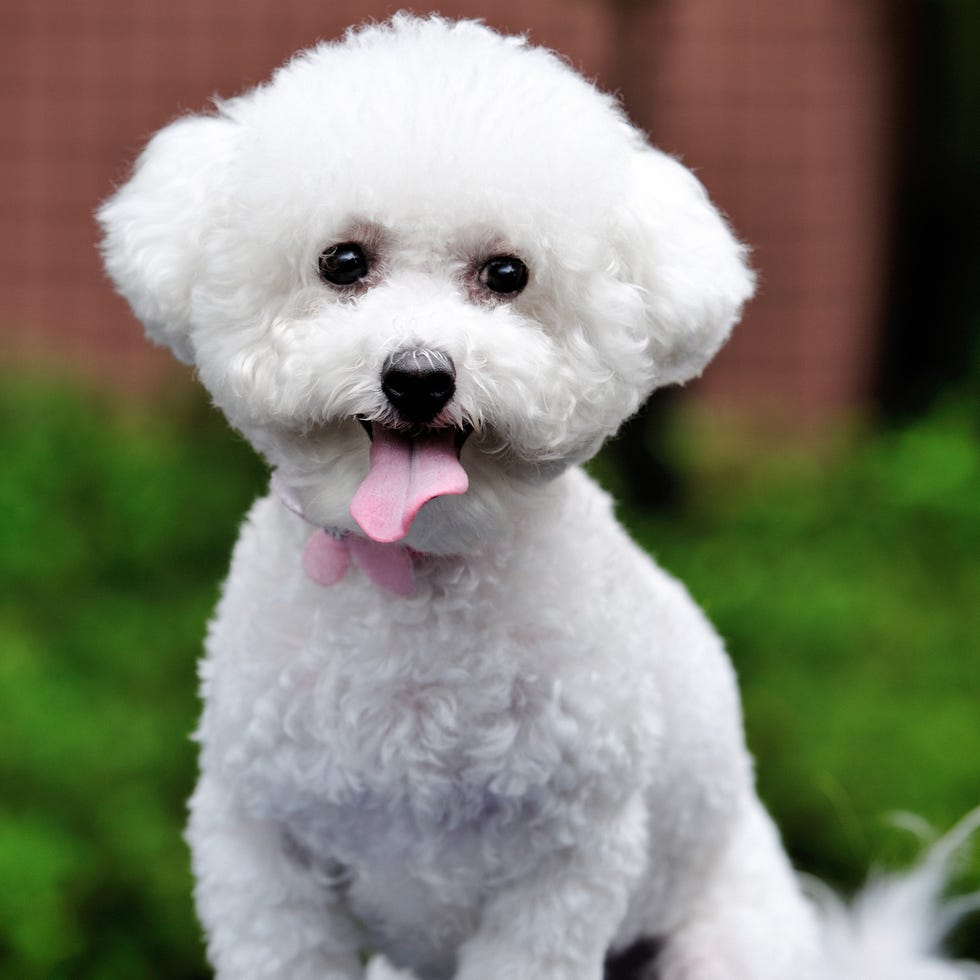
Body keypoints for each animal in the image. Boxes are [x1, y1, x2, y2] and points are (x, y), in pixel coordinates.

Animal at [97, 11, 972, 976]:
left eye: (507, 274)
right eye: (342, 261)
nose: (418, 377)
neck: (416, 578)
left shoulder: (561, 874)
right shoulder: (261, 855)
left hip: (726, 940)